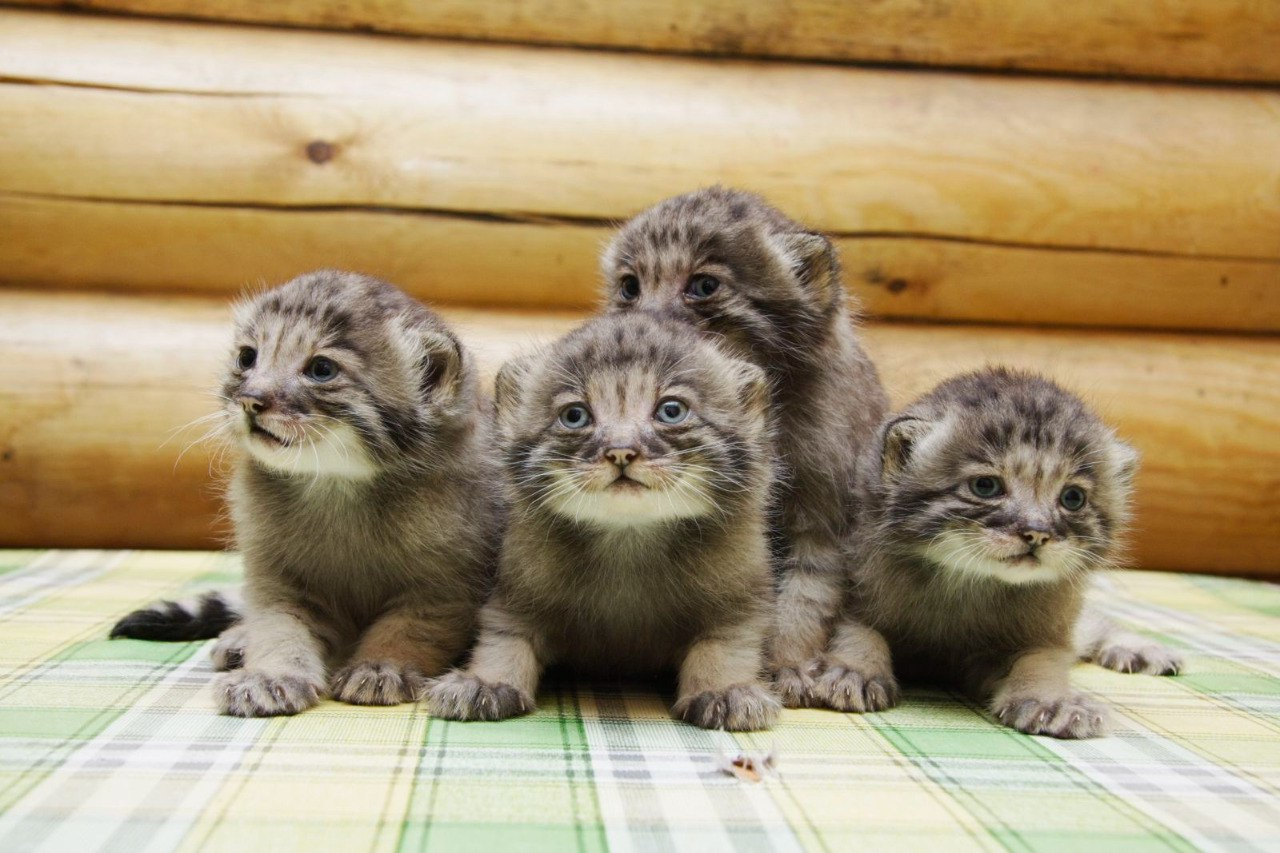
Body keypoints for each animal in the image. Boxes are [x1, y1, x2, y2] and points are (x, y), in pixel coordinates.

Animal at [112, 270, 499, 712]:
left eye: (321, 369)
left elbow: (404, 632)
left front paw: (380, 668)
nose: (250, 400)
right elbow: (280, 629)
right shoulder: (275, 577)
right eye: (247, 357)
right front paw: (270, 676)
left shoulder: (442, 588)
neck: (336, 487)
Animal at [427, 308, 778, 727]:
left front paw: (724, 689)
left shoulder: (736, 602)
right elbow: (503, 640)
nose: (621, 451)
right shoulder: (514, 597)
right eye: (575, 416)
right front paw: (485, 681)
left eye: (671, 410)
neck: (629, 539)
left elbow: (725, 646)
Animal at [601, 185, 890, 701]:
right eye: (630, 287)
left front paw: (788, 663)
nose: (638, 331)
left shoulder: (824, 519)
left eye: (703, 286)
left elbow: (803, 598)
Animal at [814, 368, 1182, 732]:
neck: (967, 585)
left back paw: (1140, 649)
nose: (1037, 533)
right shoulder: (856, 596)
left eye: (1073, 498)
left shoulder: (1044, 632)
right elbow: (859, 633)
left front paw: (1050, 701)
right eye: (985, 486)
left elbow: (1041, 661)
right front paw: (854, 670)